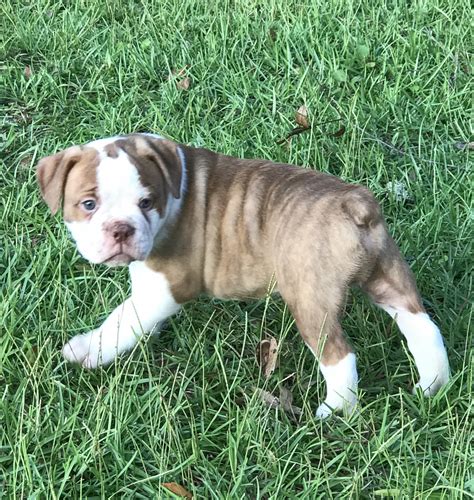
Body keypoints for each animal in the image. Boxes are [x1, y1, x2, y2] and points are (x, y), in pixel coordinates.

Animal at [35, 133, 450, 418]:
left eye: (146, 202)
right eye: (88, 204)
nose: (121, 229)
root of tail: (354, 203)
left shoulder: (164, 287)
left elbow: (121, 321)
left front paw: (88, 351)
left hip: (311, 300)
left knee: (339, 355)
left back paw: (333, 413)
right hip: (387, 275)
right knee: (423, 328)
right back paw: (433, 386)